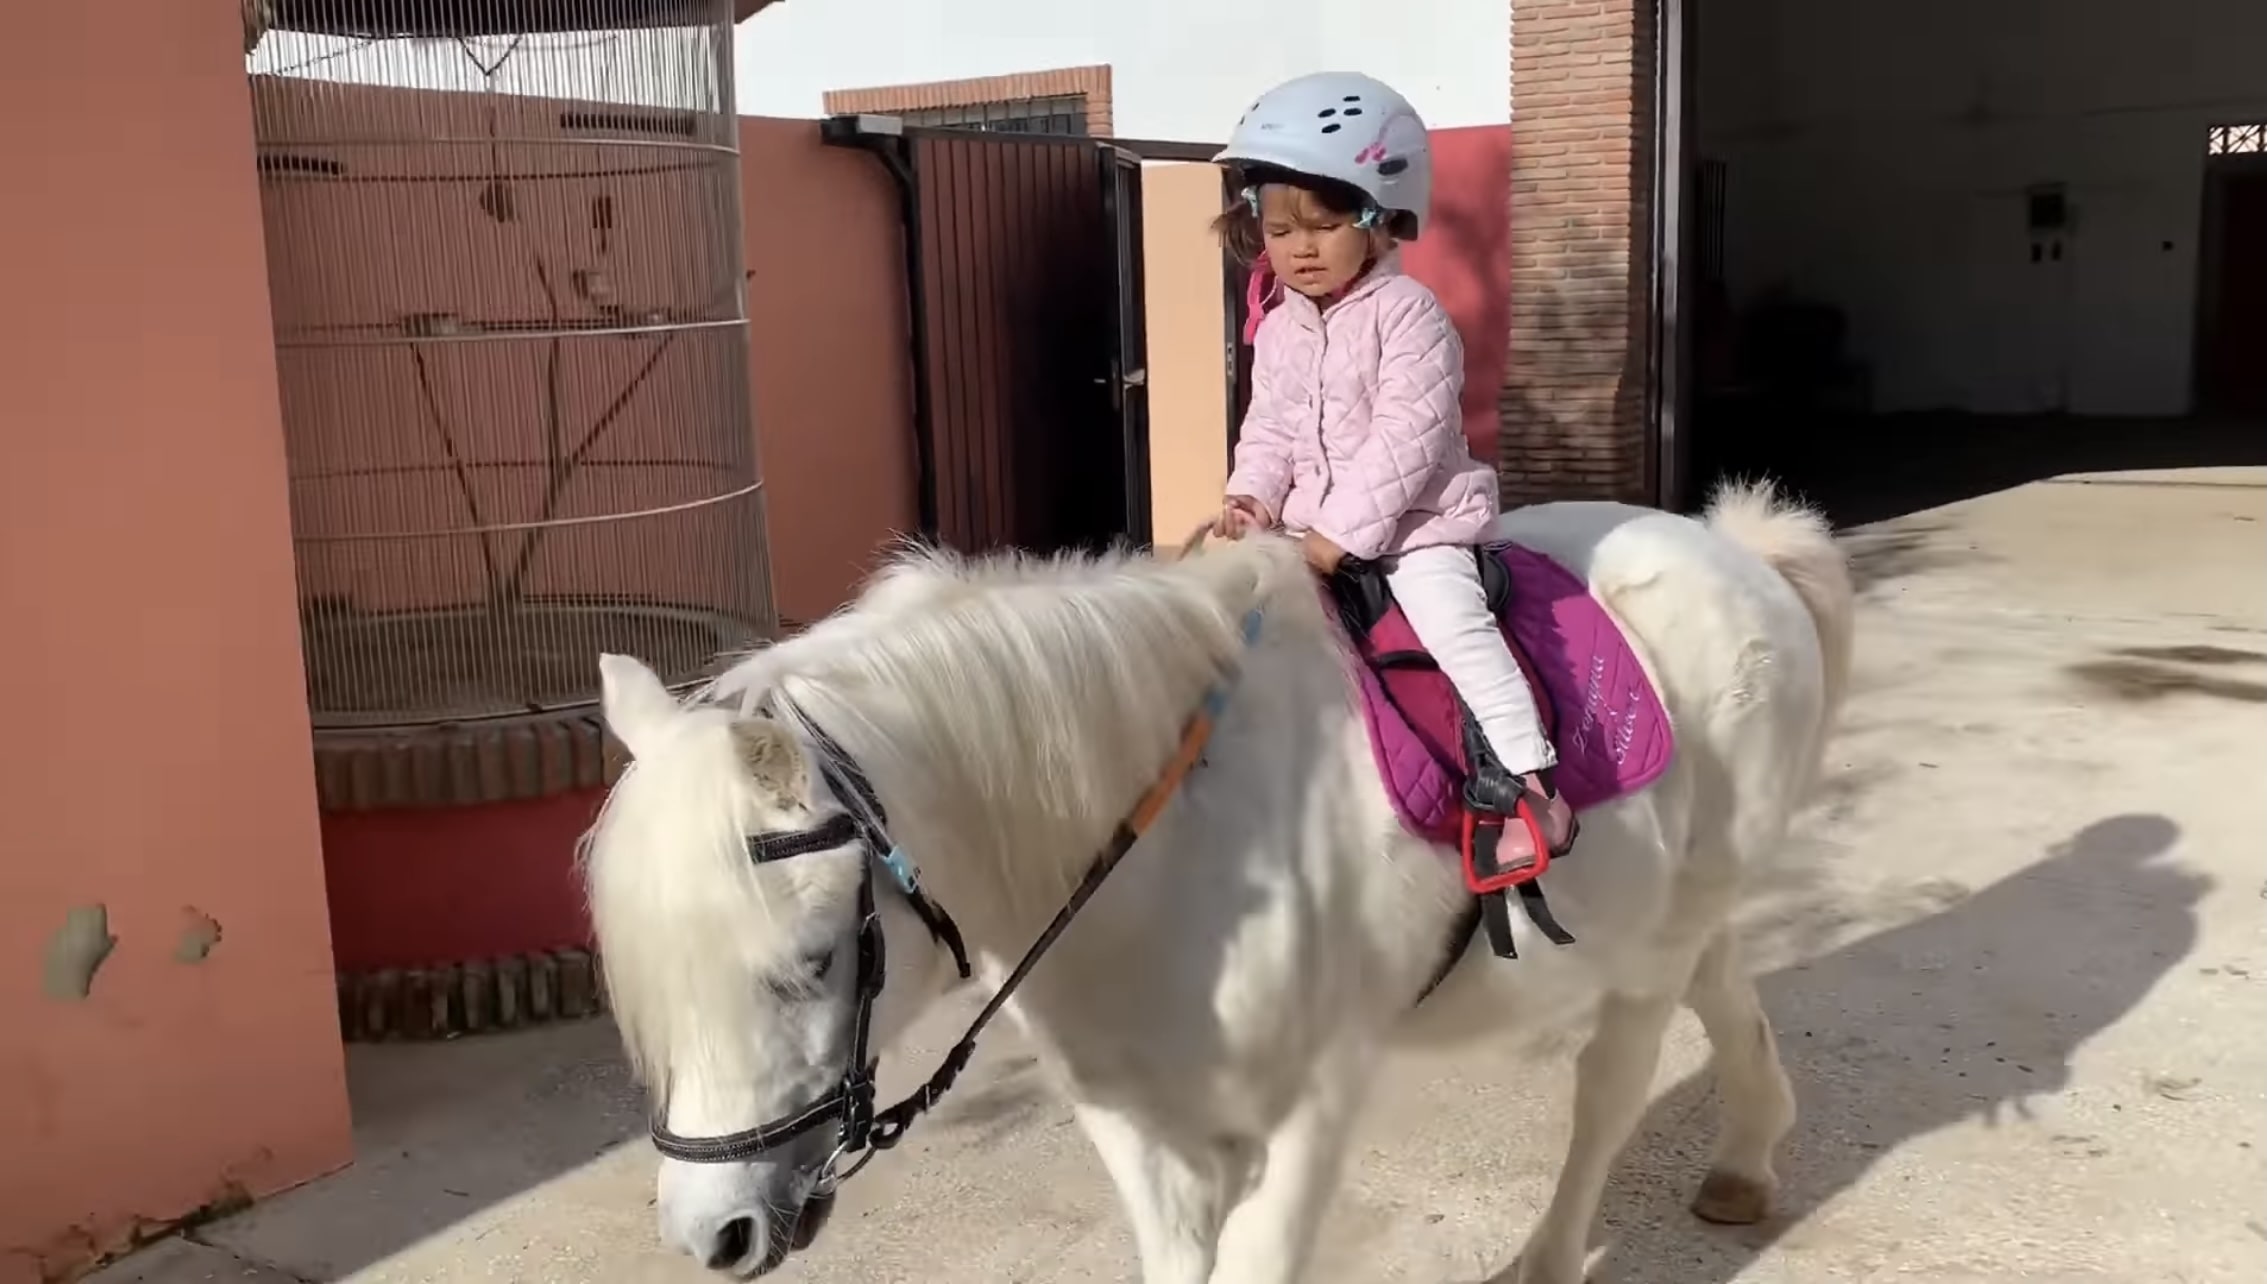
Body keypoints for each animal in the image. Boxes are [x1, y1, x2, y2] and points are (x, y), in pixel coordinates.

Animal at [589, 483, 1858, 1284]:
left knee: (1612, 1083)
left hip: (1653, 944)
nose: (713, 1233)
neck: (1157, 850)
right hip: (1676, 898)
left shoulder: (1307, 1111)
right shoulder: (1131, 1116)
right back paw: (1747, 1155)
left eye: (808, 964)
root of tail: (1739, 550)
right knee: (1717, 976)